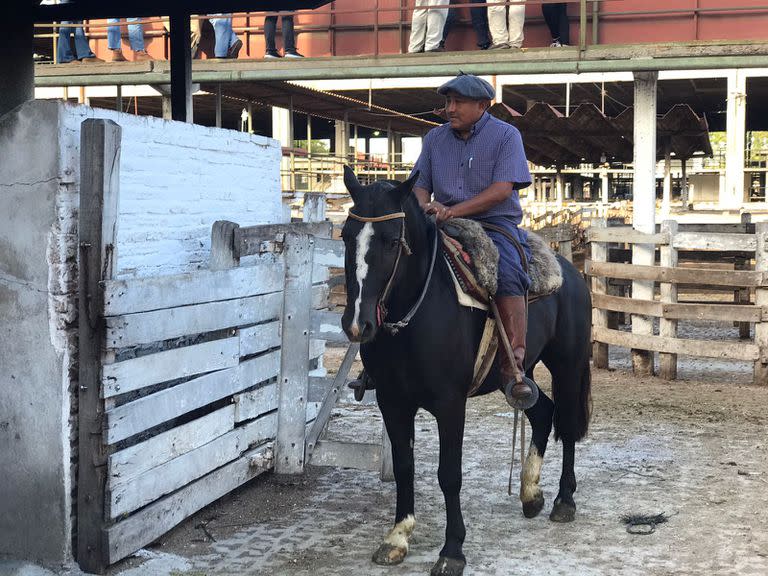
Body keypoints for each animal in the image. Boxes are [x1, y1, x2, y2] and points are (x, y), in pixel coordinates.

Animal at [340, 166, 592, 576]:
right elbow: (405, 466)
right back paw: (530, 494)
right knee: (543, 412)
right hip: (517, 376)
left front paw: (452, 550)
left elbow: (449, 474)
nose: (358, 323)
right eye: (346, 236)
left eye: (393, 241)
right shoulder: (392, 402)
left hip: (568, 365)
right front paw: (397, 537)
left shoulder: (449, 404)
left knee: (566, 424)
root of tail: (570, 272)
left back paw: (563, 500)